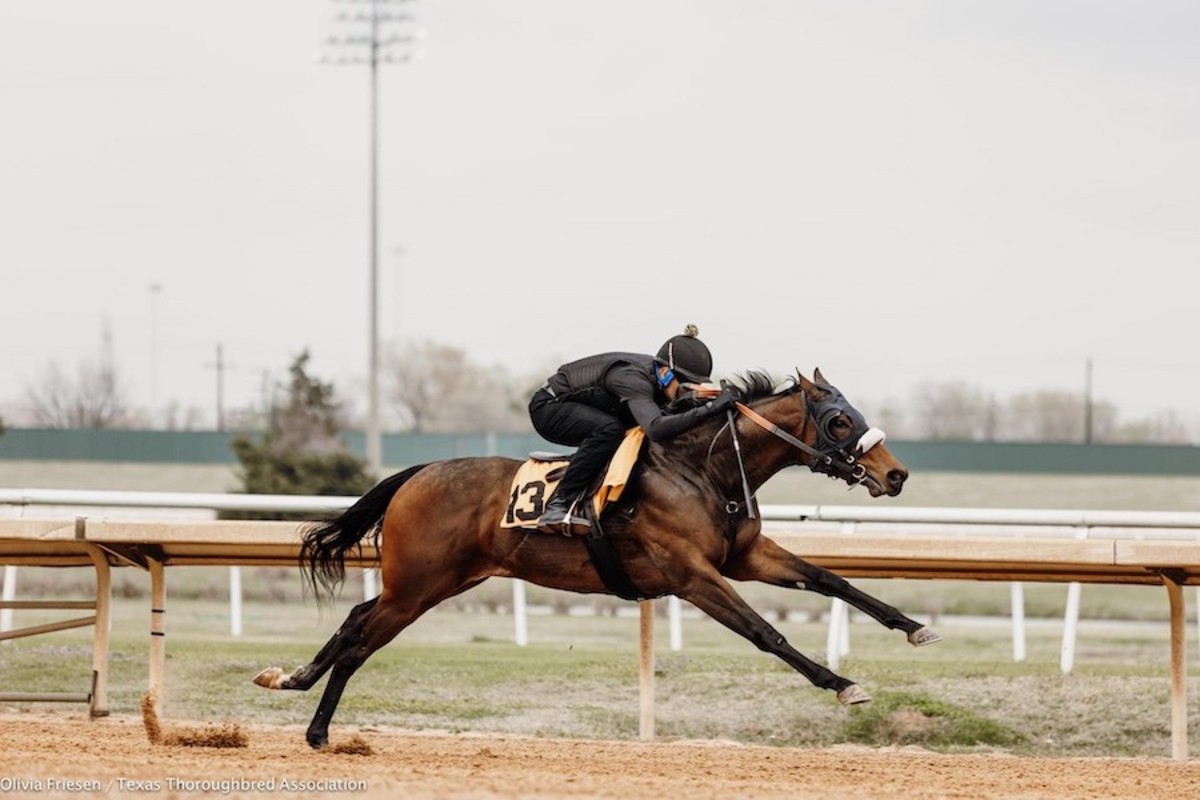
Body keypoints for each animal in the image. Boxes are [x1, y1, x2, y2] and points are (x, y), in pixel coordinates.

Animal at [258, 371, 940, 753]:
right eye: (839, 419)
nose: (896, 475)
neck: (705, 468)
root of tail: (417, 474)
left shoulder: (744, 556)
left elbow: (831, 578)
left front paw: (914, 628)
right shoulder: (692, 575)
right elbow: (765, 633)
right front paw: (844, 685)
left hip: (432, 582)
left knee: (354, 619)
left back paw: (291, 678)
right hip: (417, 588)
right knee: (360, 643)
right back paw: (318, 732)